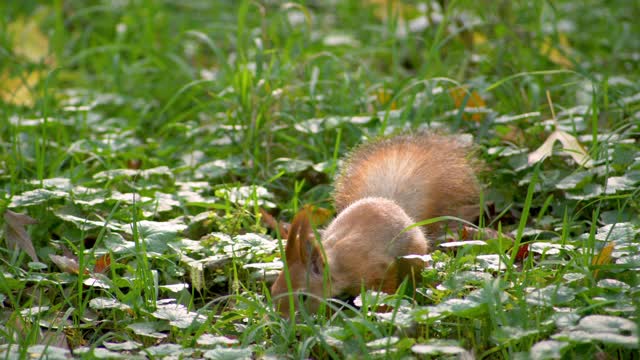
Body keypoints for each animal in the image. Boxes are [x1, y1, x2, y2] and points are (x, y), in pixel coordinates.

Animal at [268, 132, 480, 316]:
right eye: (273, 289)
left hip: (413, 256)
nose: (282, 319)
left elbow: (384, 291)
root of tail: (393, 204)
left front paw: (382, 312)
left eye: (303, 297)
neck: (338, 265)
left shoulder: (378, 268)